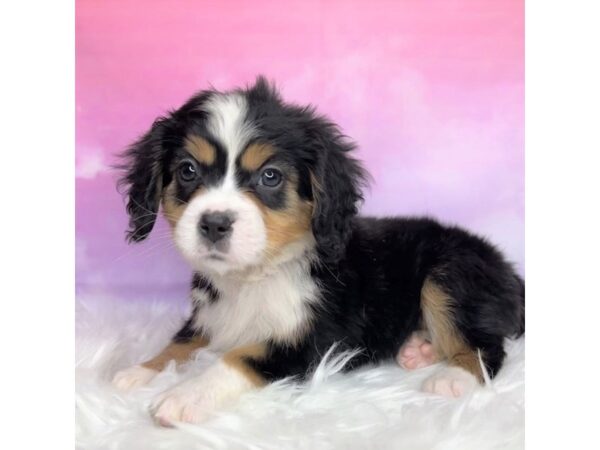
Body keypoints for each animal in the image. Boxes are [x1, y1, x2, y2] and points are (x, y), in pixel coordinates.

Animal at [112, 76, 524, 426]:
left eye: (270, 176)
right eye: (187, 170)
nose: (214, 223)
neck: (255, 275)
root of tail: (509, 271)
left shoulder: (313, 341)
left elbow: (237, 357)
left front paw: (186, 395)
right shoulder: (210, 315)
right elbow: (180, 342)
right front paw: (140, 371)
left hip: (450, 274)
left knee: (488, 346)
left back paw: (453, 378)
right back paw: (419, 349)